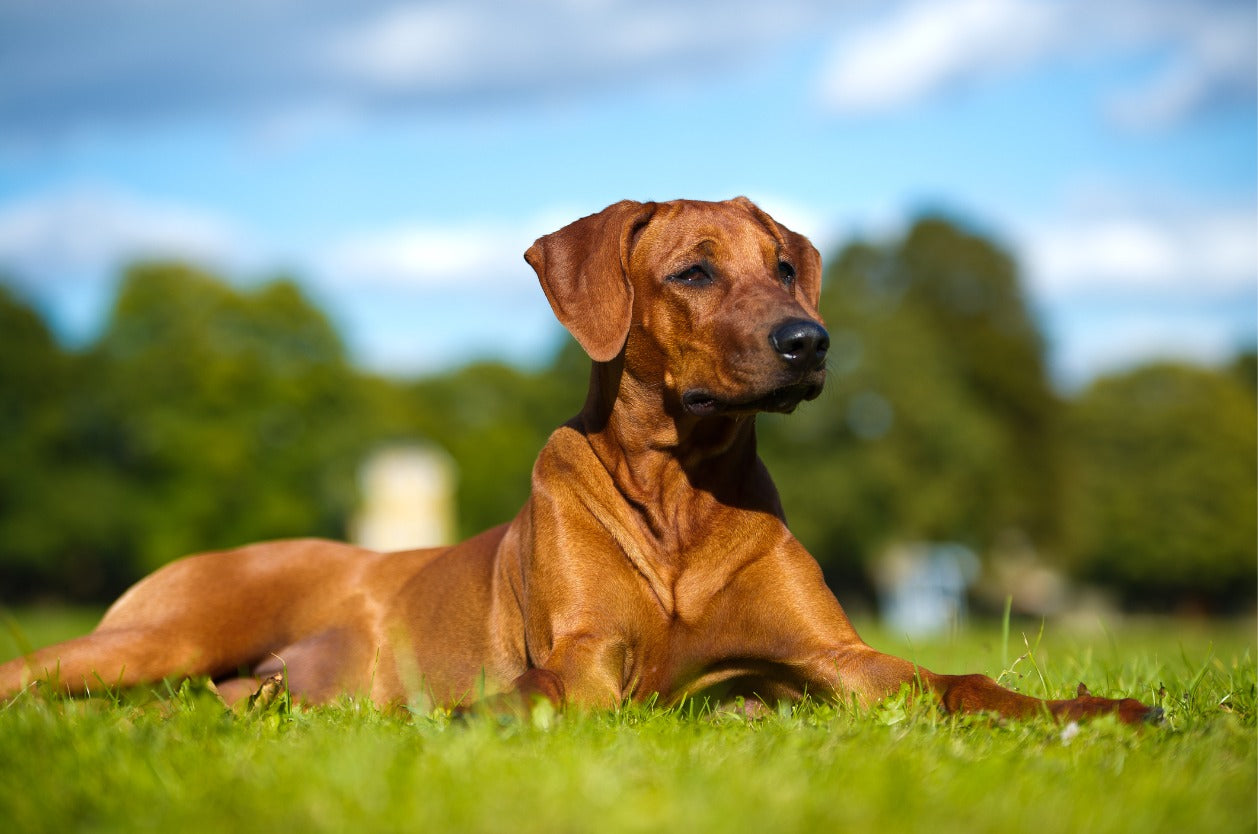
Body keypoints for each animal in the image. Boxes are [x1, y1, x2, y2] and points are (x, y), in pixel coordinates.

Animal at [2, 197, 1157, 724]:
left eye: (786, 267)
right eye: (693, 272)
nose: (810, 342)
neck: (680, 493)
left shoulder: (834, 657)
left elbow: (959, 680)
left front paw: (1090, 713)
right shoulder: (587, 655)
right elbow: (541, 691)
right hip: (165, 634)